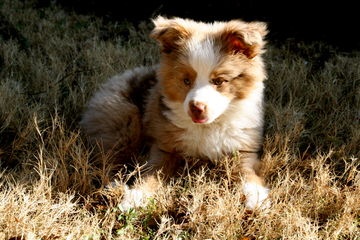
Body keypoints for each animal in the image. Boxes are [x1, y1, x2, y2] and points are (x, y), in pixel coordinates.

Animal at [79, 15, 270, 210]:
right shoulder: (164, 147)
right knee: (108, 158)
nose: (197, 108)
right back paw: (114, 185)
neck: (208, 127)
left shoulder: (243, 149)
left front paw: (256, 198)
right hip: (123, 118)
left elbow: (248, 174)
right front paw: (134, 198)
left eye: (219, 81)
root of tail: (112, 80)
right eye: (186, 80)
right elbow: (151, 173)